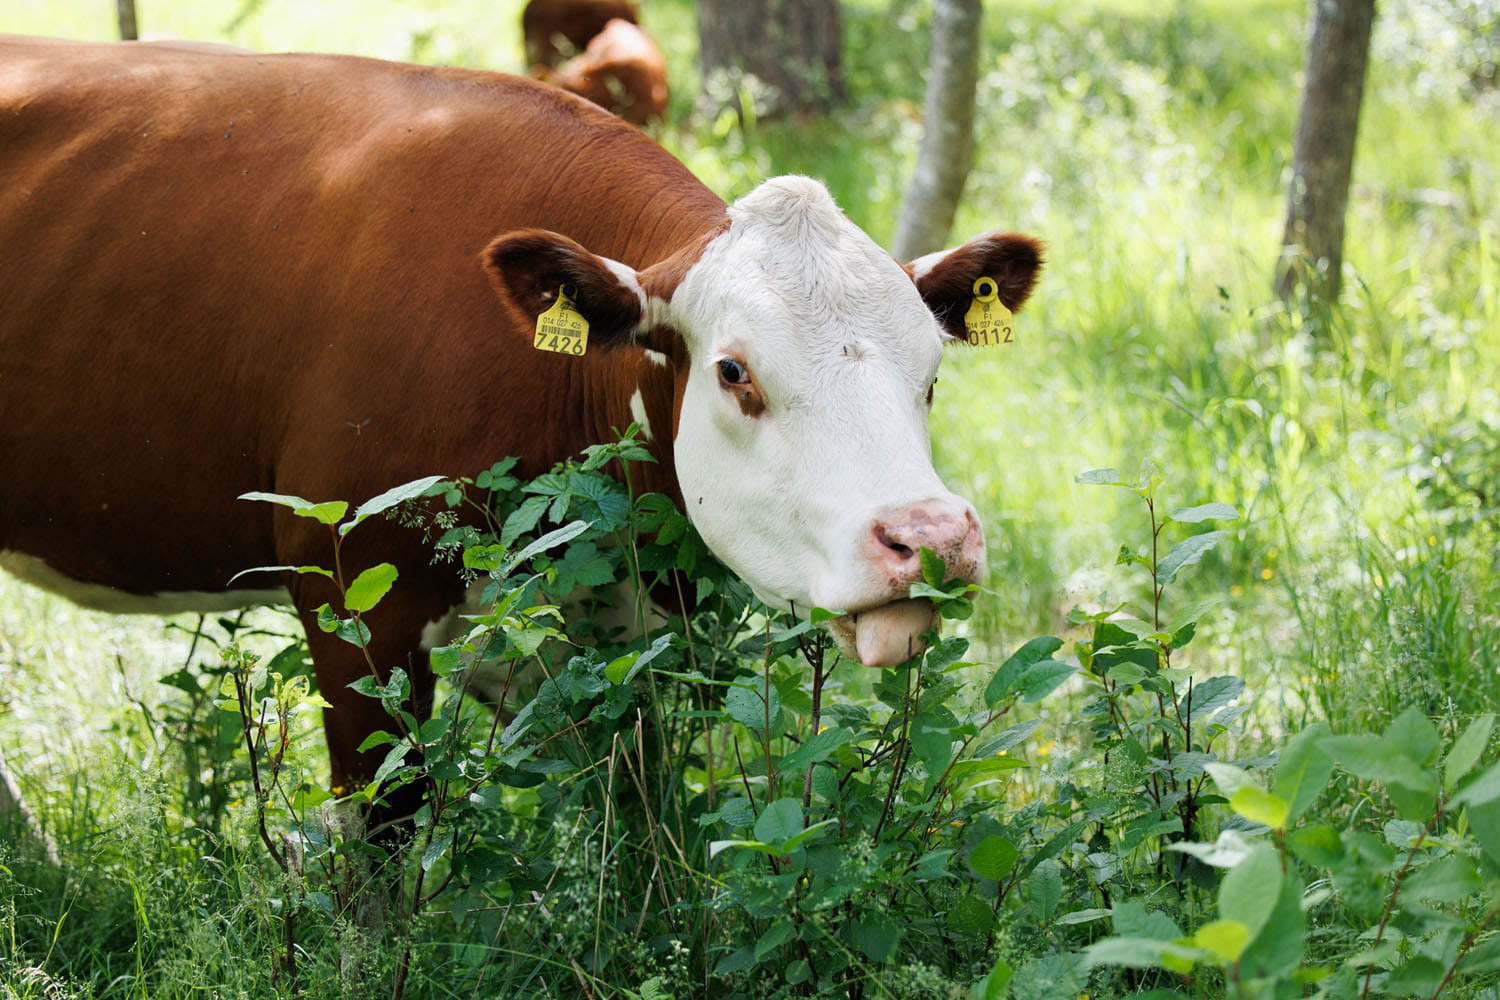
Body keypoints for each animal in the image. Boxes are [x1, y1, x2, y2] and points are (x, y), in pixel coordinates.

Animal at [0, 35, 1041, 825]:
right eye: (734, 371)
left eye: (932, 374)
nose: (932, 536)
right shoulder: (351, 602)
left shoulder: (626, 647)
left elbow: (640, 816)